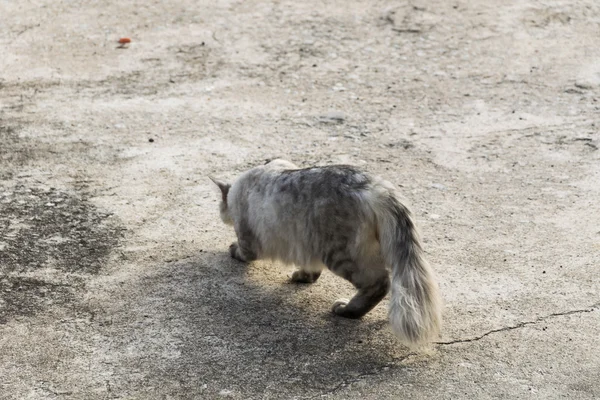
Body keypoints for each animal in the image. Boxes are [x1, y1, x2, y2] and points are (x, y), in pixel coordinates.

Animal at [211, 159, 440, 346]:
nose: (221, 212)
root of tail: (376, 187)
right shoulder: (304, 246)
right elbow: (311, 269)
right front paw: (303, 277)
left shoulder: (248, 237)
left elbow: (243, 251)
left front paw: (233, 249)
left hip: (340, 255)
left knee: (380, 283)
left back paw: (347, 310)